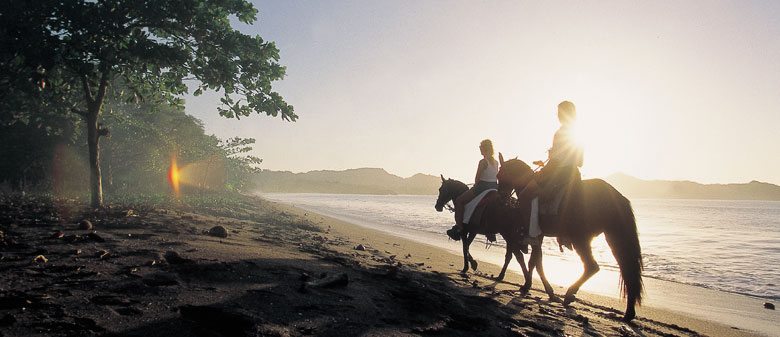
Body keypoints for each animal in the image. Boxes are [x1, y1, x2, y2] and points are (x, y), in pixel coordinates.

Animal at [496, 158, 644, 320]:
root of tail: (617, 196)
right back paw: (629, 312)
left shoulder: (537, 235)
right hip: (612, 237)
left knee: (592, 266)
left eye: (500, 175)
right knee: (627, 269)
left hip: (580, 238)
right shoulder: (539, 237)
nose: (501, 197)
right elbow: (535, 262)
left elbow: (535, 263)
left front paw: (534, 287)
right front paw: (534, 287)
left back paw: (569, 294)